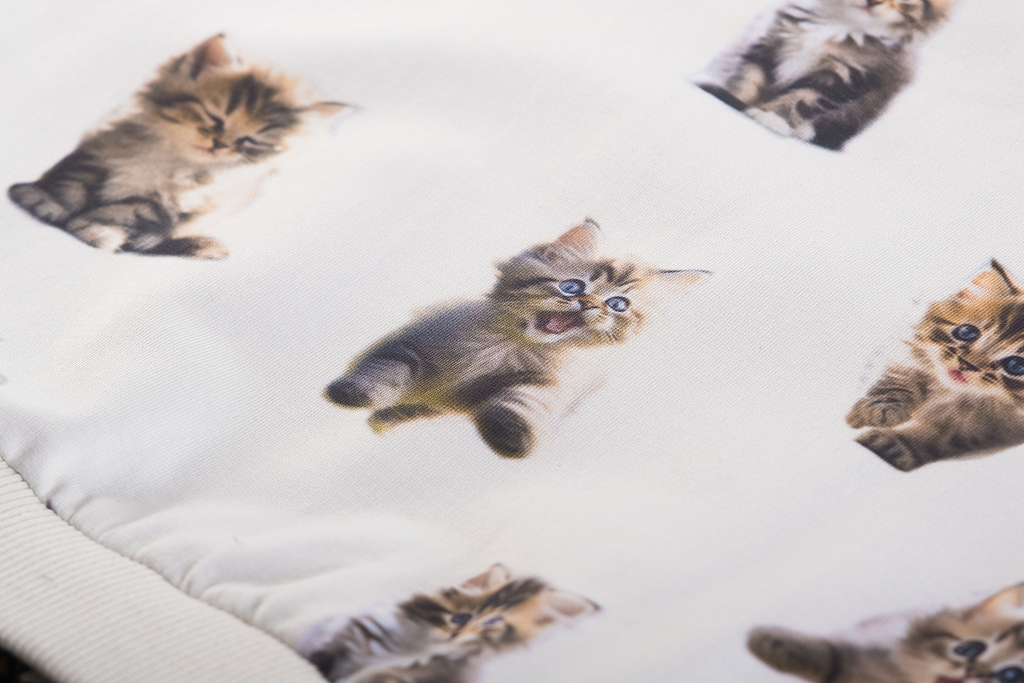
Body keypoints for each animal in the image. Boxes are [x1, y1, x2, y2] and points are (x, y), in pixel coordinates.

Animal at [8, 34, 347, 259]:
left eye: (251, 141)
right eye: (216, 117)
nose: (220, 145)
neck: (169, 161)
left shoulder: (162, 206)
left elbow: (116, 213)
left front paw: (95, 231)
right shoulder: (98, 152)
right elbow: (71, 184)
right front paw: (45, 202)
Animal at [323, 219, 710, 458]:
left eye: (618, 305)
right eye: (572, 286)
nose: (588, 304)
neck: (507, 348)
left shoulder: (552, 384)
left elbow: (527, 400)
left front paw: (511, 435)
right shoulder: (413, 341)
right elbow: (385, 370)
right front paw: (351, 392)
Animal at [697, 0, 951, 150]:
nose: (873, 1)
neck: (839, 22)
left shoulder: (852, 75)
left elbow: (800, 98)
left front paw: (771, 116)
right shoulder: (770, 40)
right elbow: (748, 77)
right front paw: (733, 97)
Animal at [847, 260, 1024, 472]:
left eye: (1016, 365)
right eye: (967, 332)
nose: (966, 364)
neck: (949, 393)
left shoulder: (994, 430)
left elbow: (937, 438)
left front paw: (890, 446)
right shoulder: (906, 351)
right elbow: (897, 377)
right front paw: (875, 411)